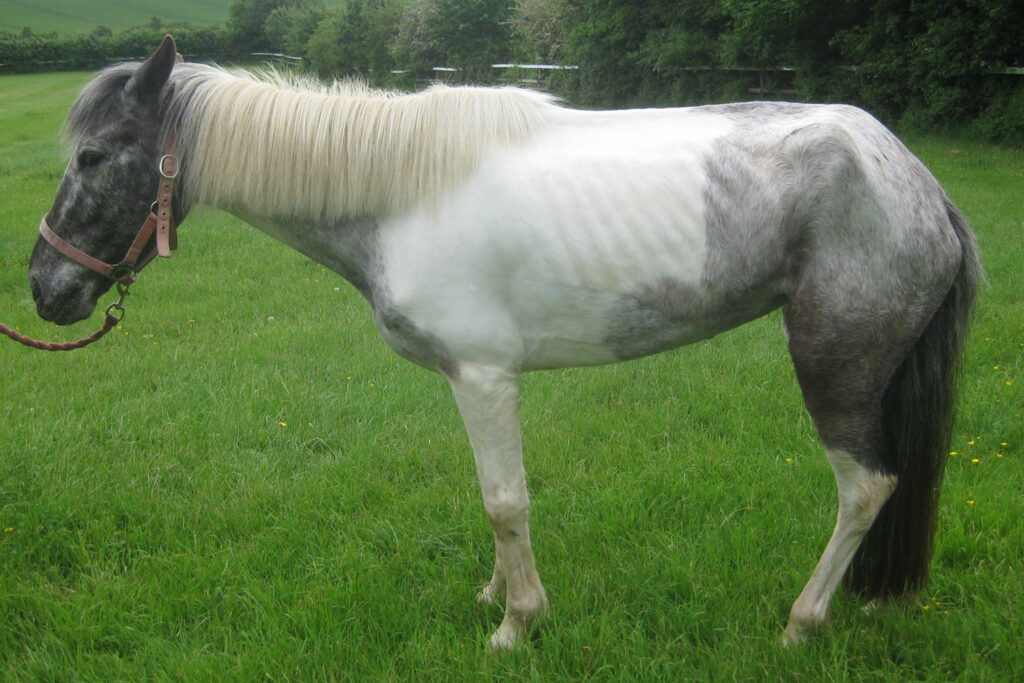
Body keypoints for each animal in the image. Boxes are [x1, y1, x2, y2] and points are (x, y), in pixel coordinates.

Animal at [28, 36, 978, 647]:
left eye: (93, 157)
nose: (44, 288)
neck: (399, 193)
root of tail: (918, 181)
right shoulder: (468, 381)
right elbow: (491, 497)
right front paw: (495, 593)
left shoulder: (485, 377)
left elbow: (505, 500)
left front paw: (517, 624)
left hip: (836, 369)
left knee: (866, 488)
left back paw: (800, 622)